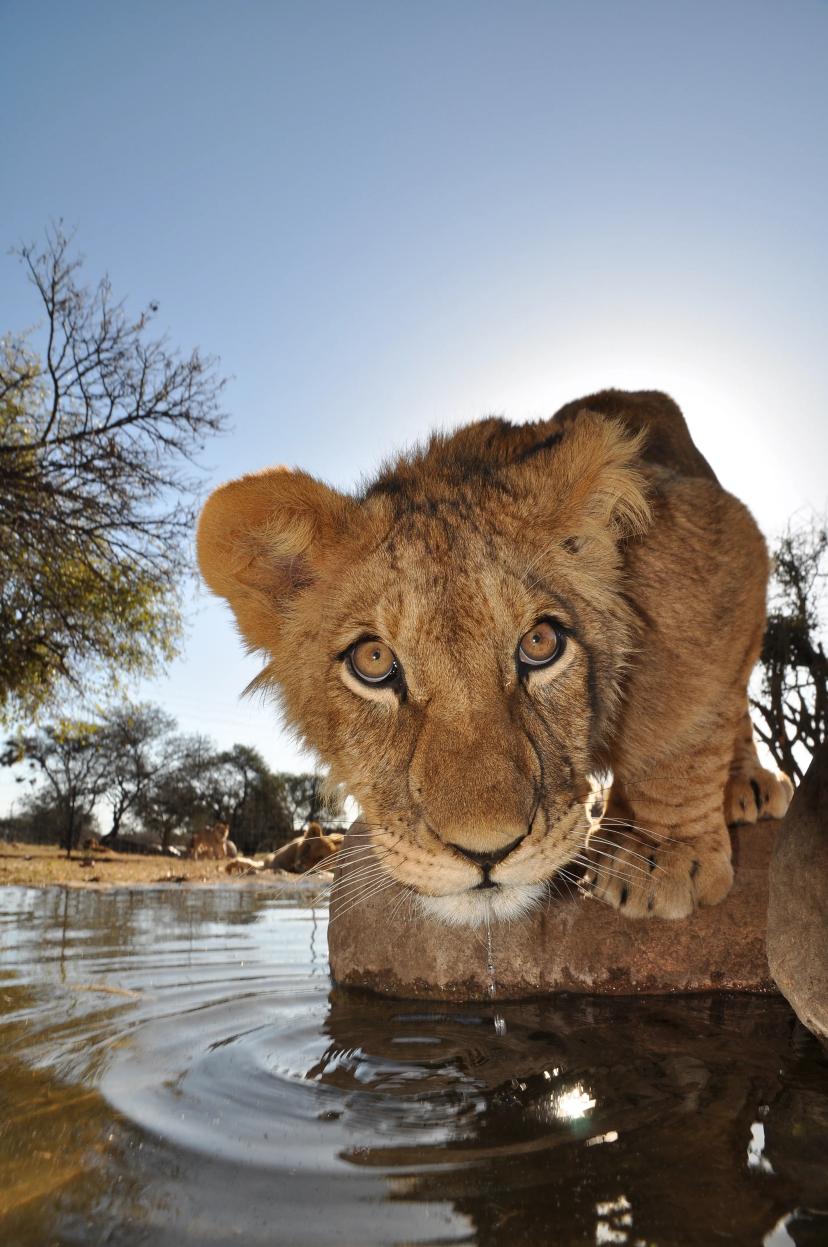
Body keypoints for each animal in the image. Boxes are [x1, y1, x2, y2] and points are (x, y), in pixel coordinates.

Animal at [196, 389, 793, 925]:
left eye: (540, 644)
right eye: (374, 660)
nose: (487, 853)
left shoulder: (721, 536)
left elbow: (677, 725)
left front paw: (658, 856)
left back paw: (747, 786)